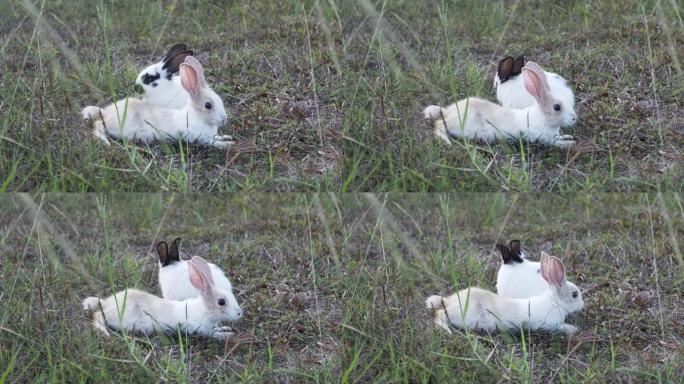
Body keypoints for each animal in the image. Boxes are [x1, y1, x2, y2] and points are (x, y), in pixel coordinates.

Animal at [81, 55, 232, 148]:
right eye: (208, 105)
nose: (224, 120)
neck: (197, 116)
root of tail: (105, 112)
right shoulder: (198, 137)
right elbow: (211, 143)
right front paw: (226, 145)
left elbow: (217, 137)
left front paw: (226, 137)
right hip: (116, 127)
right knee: (98, 125)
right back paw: (105, 141)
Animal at [82, 256, 242, 338]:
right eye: (221, 302)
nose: (240, 313)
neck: (205, 310)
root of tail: (106, 303)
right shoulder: (201, 329)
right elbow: (214, 334)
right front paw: (227, 335)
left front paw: (226, 328)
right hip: (116, 316)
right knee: (97, 316)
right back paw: (105, 333)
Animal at [422, 62, 576, 148]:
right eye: (557, 107)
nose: (575, 118)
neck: (543, 118)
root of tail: (448, 111)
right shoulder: (542, 138)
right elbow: (555, 144)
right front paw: (569, 144)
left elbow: (559, 138)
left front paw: (568, 137)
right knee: (438, 124)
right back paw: (446, 141)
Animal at [428, 250, 584, 334]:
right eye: (575, 294)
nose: (582, 304)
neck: (554, 302)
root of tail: (451, 301)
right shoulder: (551, 324)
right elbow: (561, 326)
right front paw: (574, 329)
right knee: (439, 314)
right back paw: (446, 330)